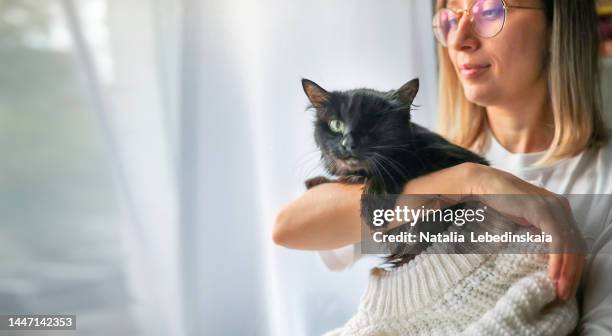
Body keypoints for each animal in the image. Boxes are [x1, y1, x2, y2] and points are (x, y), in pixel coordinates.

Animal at [302, 78, 488, 268]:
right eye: (336, 125)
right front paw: (316, 181)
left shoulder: (456, 158)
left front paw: (374, 205)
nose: (347, 144)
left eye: (372, 123)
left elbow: (398, 163)